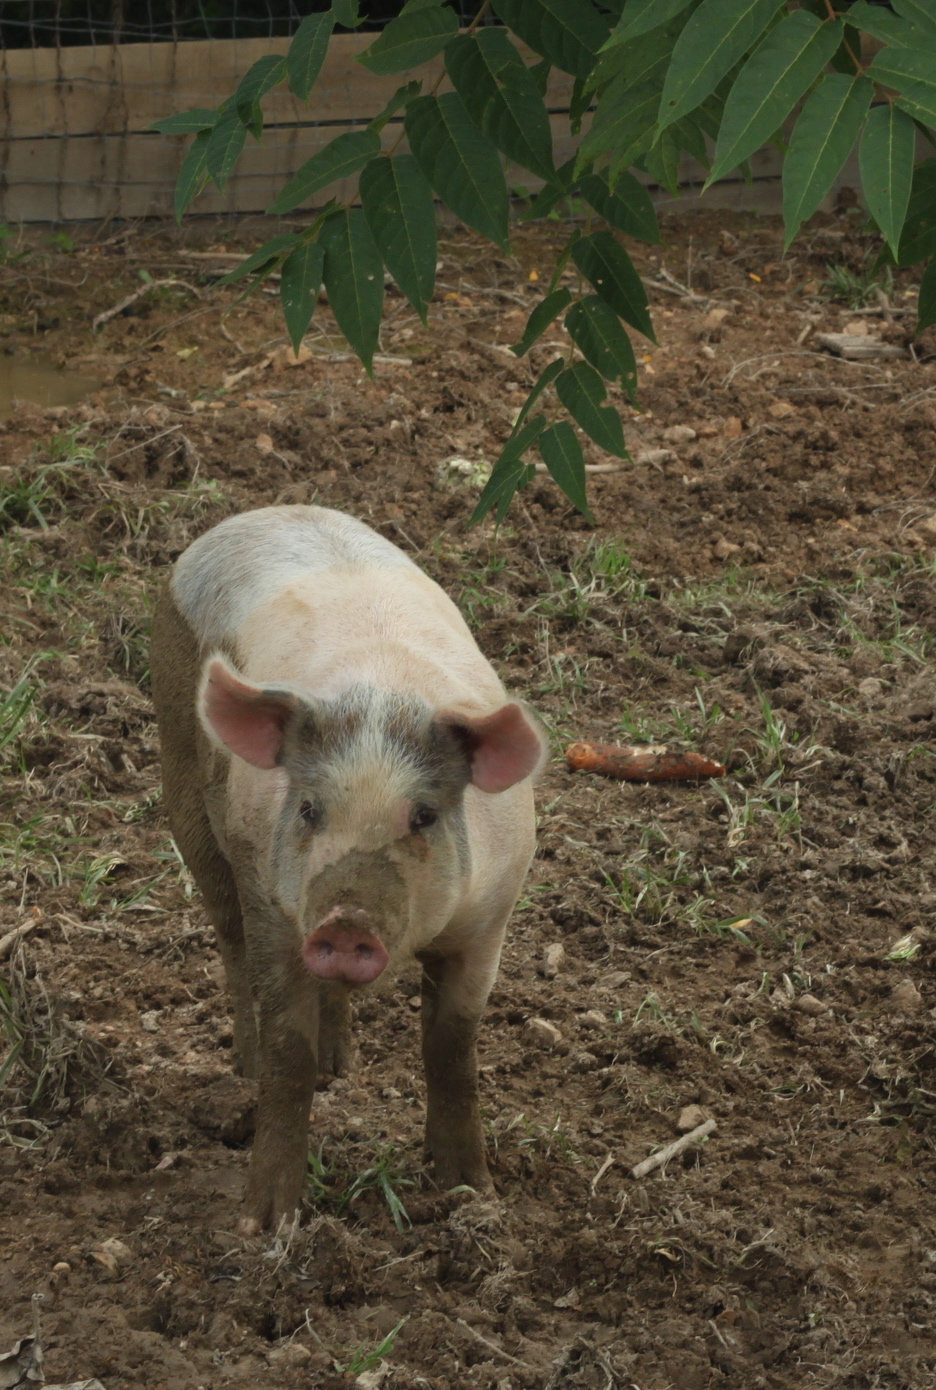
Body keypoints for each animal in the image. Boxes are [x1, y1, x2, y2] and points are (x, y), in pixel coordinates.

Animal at [150, 505, 546, 1233]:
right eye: (309, 809)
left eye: (423, 815)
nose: (345, 923)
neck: (380, 698)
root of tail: (258, 515)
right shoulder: (277, 906)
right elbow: (288, 1047)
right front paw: (264, 1224)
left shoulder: (491, 918)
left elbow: (453, 1047)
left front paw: (470, 1192)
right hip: (184, 785)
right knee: (228, 939)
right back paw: (246, 1070)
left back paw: (342, 1071)